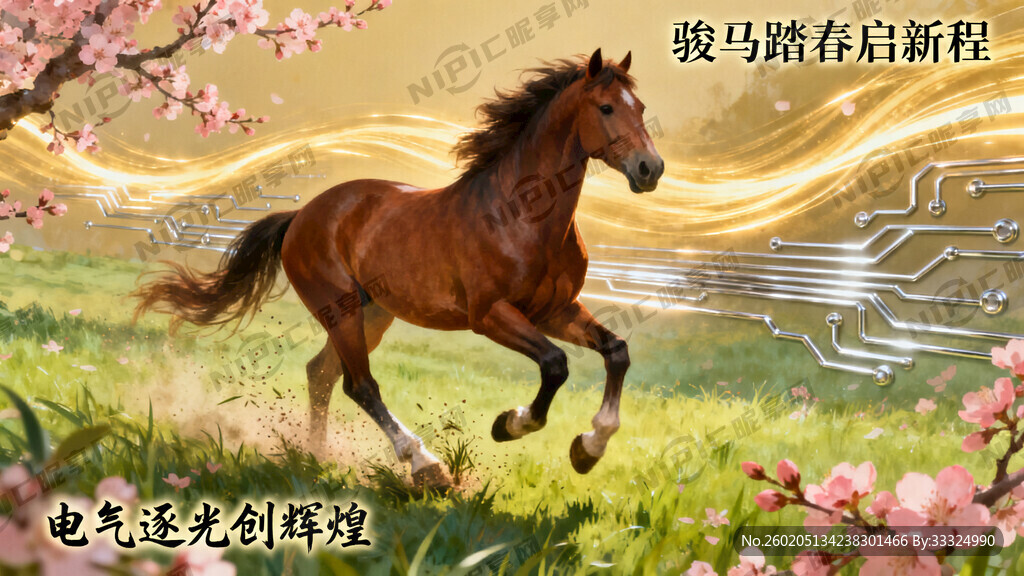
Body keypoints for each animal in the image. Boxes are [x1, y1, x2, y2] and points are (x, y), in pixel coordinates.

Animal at [132, 48, 664, 489]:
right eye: (606, 108)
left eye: (640, 107)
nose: (650, 169)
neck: (522, 215)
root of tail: (301, 216)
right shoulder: (490, 315)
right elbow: (555, 365)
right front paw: (508, 426)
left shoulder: (556, 310)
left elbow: (616, 352)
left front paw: (587, 450)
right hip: (341, 309)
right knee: (359, 384)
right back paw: (426, 466)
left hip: (372, 313)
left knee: (321, 375)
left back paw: (317, 457)